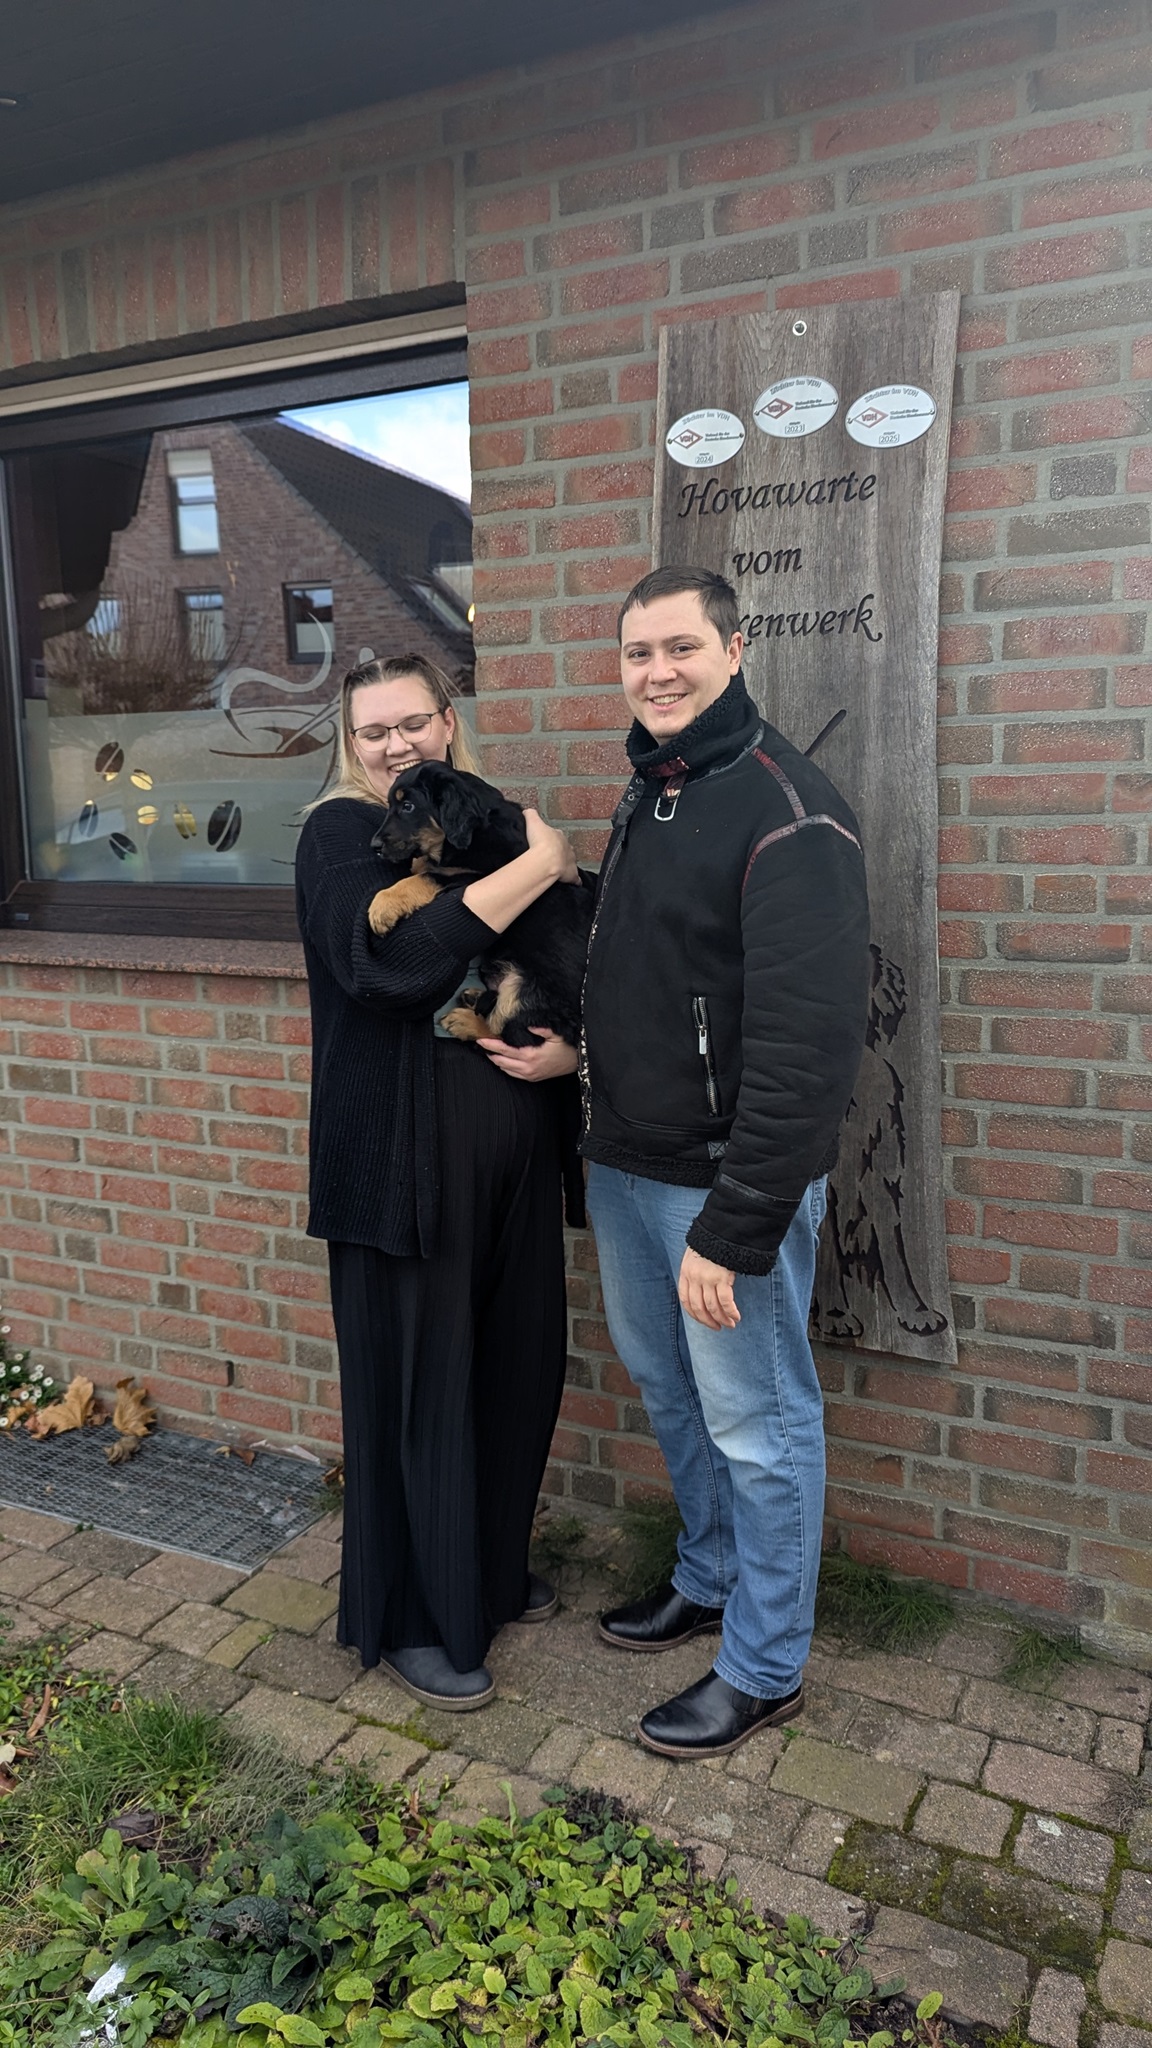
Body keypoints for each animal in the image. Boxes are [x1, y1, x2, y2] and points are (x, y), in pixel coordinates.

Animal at [367, 761, 593, 1047]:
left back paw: (463, 1021)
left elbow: (428, 875)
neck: (475, 834)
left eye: (408, 806)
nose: (374, 846)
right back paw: (474, 998)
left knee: (509, 1032)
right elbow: (425, 866)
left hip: (525, 991)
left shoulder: (476, 877)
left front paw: (383, 907)